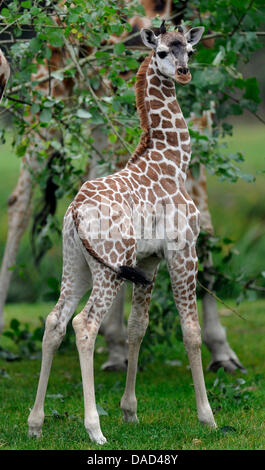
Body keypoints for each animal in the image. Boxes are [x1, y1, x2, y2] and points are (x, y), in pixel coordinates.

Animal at [27, 23, 216, 444]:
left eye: (190, 50)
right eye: (162, 52)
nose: (183, 73)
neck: (173, 160)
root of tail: (75, 211)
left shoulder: (148, 261)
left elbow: (136, 329)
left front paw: (130, 411)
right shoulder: (183, 251)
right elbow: (191, 331)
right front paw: (207, 417)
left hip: (76, 265)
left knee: (55, 321)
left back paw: (35, 423)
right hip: (108, 267)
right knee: (84, 325)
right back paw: (94, 428)